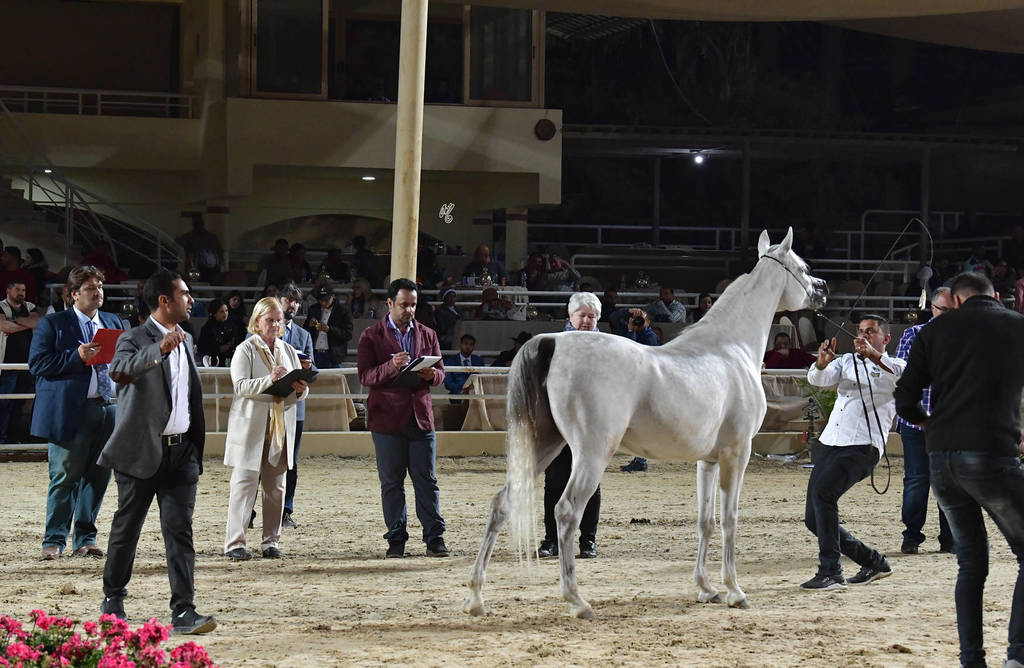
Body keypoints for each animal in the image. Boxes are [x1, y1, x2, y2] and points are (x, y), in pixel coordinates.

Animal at [463, 228, 828, 619]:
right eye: (803, 268)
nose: (822, 289)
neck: (731, 348)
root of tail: (552, 342)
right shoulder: (737, 453)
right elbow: (730, 519)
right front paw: (734, 590)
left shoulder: (708, 460)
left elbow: (706, 521)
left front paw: (706, 588)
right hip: (591, 454)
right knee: (566, 511)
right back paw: (577, 600)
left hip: (544, 444)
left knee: (502, 503)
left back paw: (476, 597)